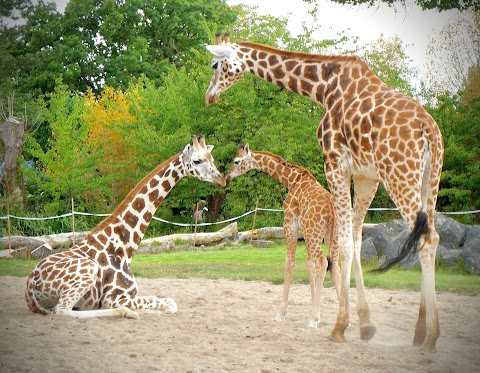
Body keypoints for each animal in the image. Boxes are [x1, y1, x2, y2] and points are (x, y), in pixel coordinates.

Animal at [27, 135, 226, 318]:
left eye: (212, 159)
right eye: (197, 160)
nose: (221, 180)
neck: (124, 247)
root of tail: (30, 284)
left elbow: (165, 301)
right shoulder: (115, 297)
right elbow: (170, 303)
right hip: (87, 272)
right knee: (62, 311)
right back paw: (125, 312)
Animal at [226, 144, 342, 326]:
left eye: (236, 161)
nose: (227, 177)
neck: (291, 179)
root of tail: (331, 207)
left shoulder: (290, 225)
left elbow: (290, 263)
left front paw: (282, 313)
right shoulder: (304, 231)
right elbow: (308, 265)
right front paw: (313, 310)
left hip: (315, 233)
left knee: (323, 262)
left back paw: (314, 319)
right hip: (330, 234)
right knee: (334, 265)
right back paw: (344, 318)